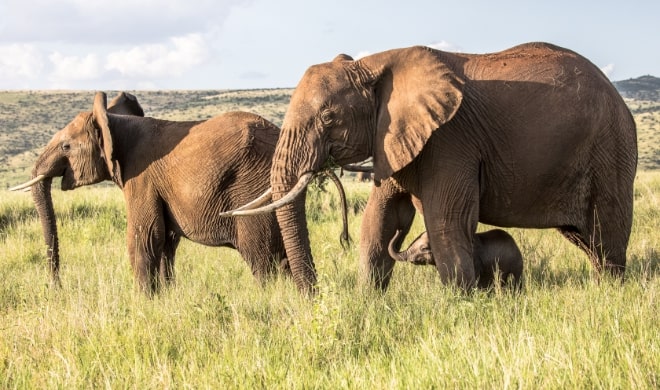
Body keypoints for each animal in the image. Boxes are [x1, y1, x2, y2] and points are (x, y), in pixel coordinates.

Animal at [11, 91, 346, 292]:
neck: (114, 121)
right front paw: (164, 298)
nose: (55, 285)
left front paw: (143, 305)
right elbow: (165, 244)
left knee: (263, 260)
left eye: (67, 146)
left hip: (252, 187)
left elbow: (144, 239)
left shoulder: (141, 178)